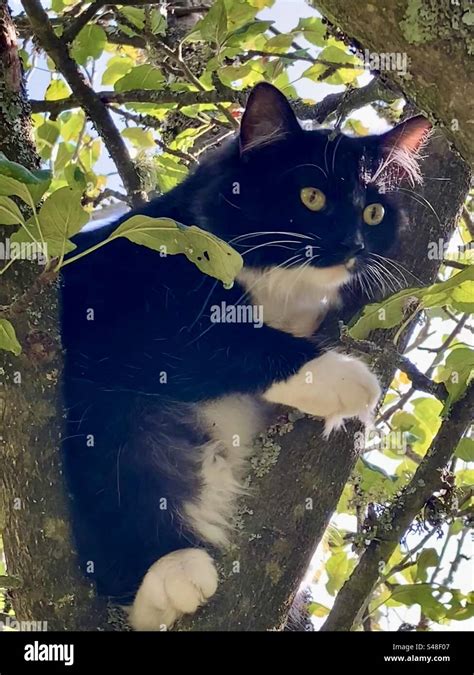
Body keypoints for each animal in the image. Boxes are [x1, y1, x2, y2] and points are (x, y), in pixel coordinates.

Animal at [59, 82, 430, 632]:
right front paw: (338, 376)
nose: (351, 245)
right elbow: (225, 340)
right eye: (311, 197)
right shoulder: (108, 308)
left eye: (374, 213)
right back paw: (171, 576)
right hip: (107, 420)